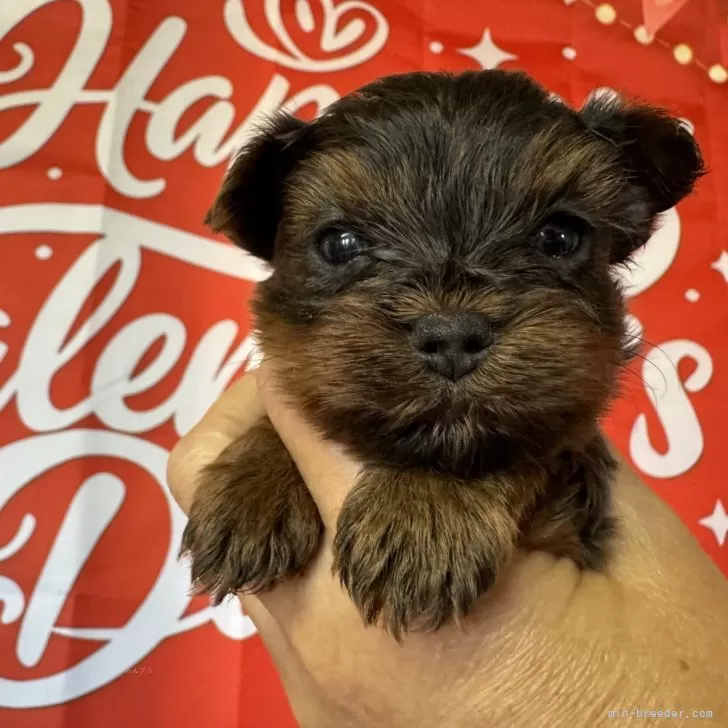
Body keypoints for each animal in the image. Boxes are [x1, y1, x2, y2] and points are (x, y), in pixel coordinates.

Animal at [179, 68, 704, 636]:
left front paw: (426, 511)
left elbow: (521, 451)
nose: (452, 335)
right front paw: (253, 485)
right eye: (339, 244)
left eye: (560, 237)